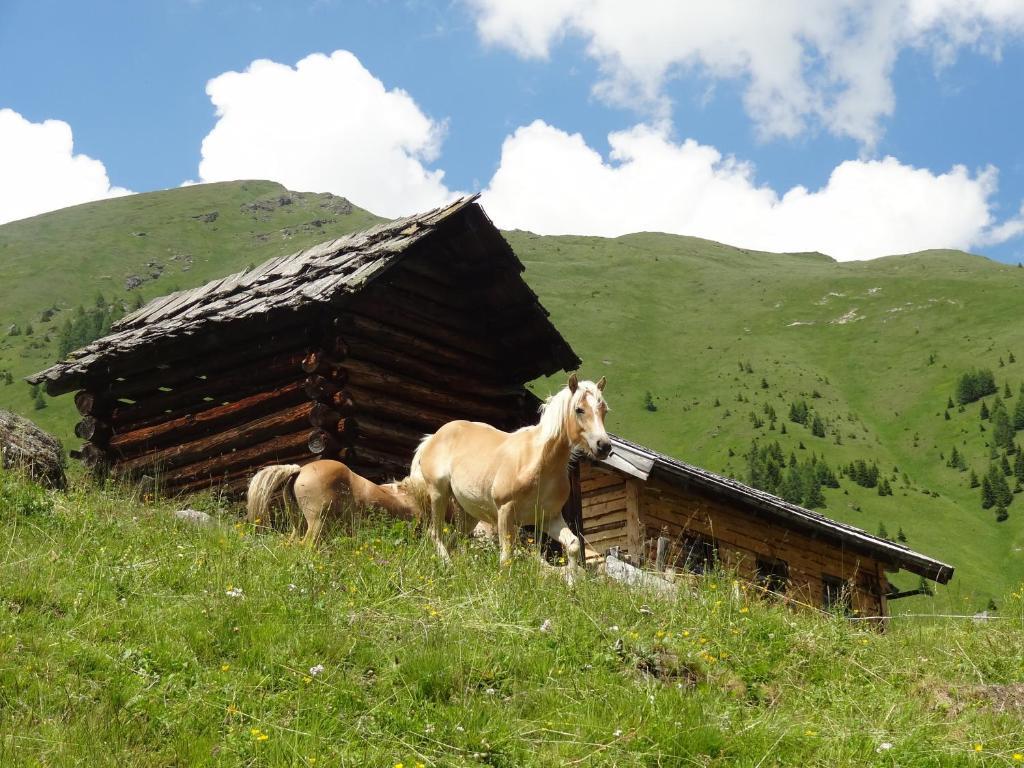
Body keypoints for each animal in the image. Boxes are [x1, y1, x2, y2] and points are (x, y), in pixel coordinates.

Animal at [407, 374, 606, 581]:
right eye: (579, 409)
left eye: (603, 410)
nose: (604, 446)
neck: (538, 463)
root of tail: (433, 437)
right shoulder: (505, 511)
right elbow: (507, 555)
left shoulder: (549, 518)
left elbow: (573, 544)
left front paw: (572, 582)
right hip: (438, 494)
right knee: (435, 533)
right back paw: (448, 565)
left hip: (469, 513)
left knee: (453, 538)